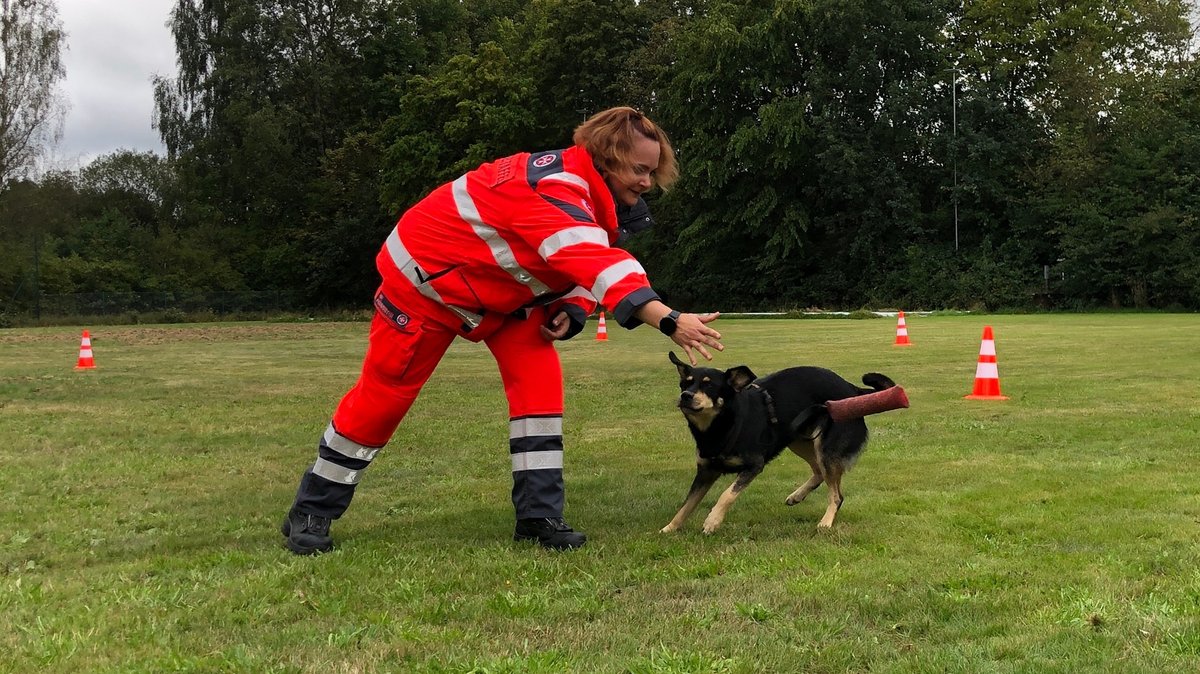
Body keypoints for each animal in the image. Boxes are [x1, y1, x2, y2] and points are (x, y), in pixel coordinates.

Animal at [667, 347, 902, 532]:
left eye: (709, 386)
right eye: (684, 384)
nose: (685, 396)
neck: (722, 425)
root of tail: (853, 390)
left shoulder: (754, 465)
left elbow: (727, 494)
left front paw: (712, 521)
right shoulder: (706, 471)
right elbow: (687, 504)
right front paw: (669, 529)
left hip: (826, 450)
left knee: (836, 495)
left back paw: (826, 522)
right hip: (798, 441)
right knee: (819, 472)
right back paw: (798, 495)